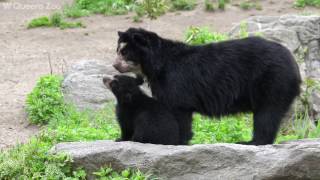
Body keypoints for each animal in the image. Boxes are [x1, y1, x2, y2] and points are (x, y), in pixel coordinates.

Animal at [112, 28, 300, 146]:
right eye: (118, 50)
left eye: (124, 52)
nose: (115, 65)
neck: (155, 66)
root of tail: (292, 61)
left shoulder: (175, 83)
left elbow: (179, 112)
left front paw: (177, 141)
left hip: (271, 80)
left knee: (267, 113)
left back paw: (252, 142)